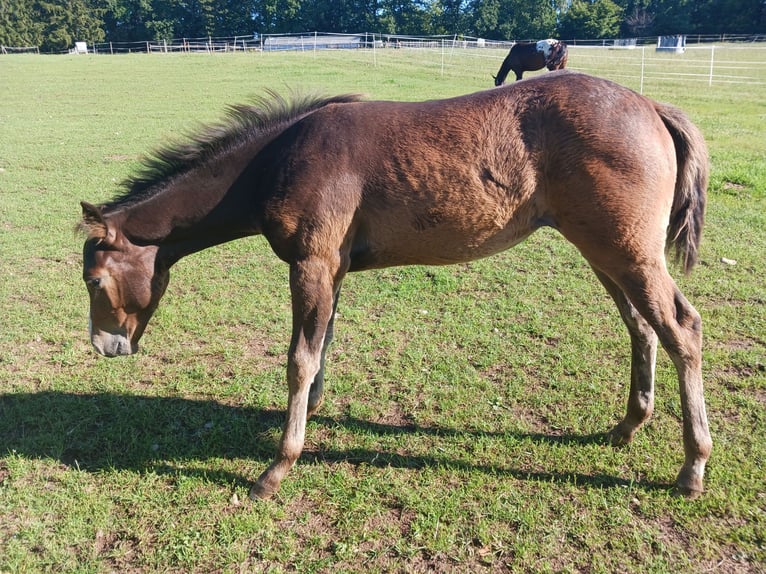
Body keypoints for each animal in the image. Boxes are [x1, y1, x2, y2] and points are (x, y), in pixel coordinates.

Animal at [79, 73, 712, 504]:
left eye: (93, 279)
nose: (105, 346)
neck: (280, 158)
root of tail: (651, 106)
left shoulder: (310, 264)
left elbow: (299, 359)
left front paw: (277, 467)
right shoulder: (331, 269)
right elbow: (322, 349)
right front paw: (310, 417)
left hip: (626, 252)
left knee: (681, 328)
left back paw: (692, 468)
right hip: (605, 251)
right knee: (642, 326)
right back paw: (627, 427)